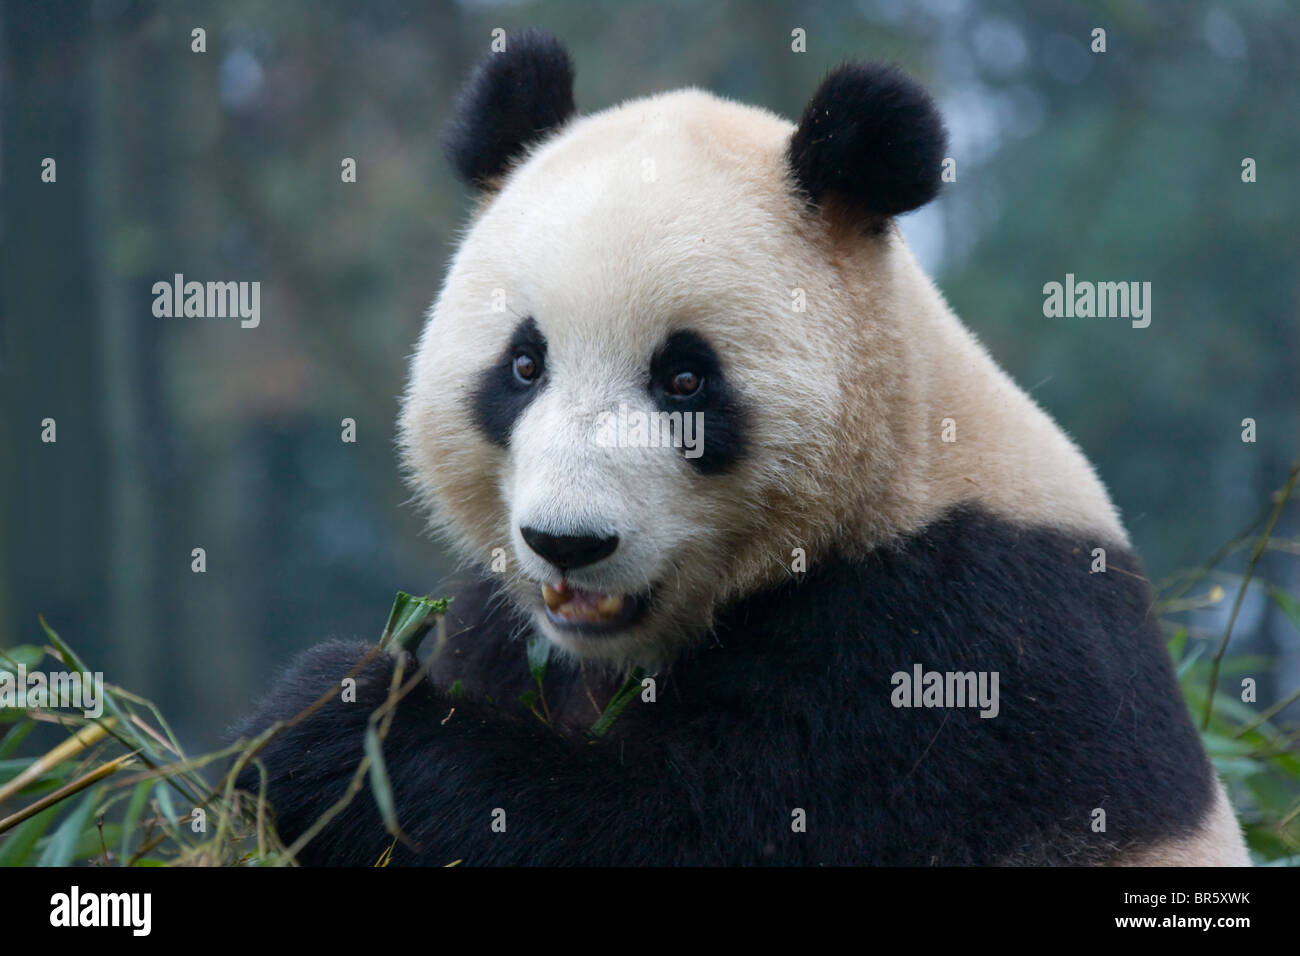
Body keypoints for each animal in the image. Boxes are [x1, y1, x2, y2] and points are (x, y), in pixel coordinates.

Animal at [233, 31, 1248, 868]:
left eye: (685, 380)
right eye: (523, 365)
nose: (568, 544)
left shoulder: (953, 654)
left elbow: (688, 826)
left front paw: (334, 723)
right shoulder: (506, 628)